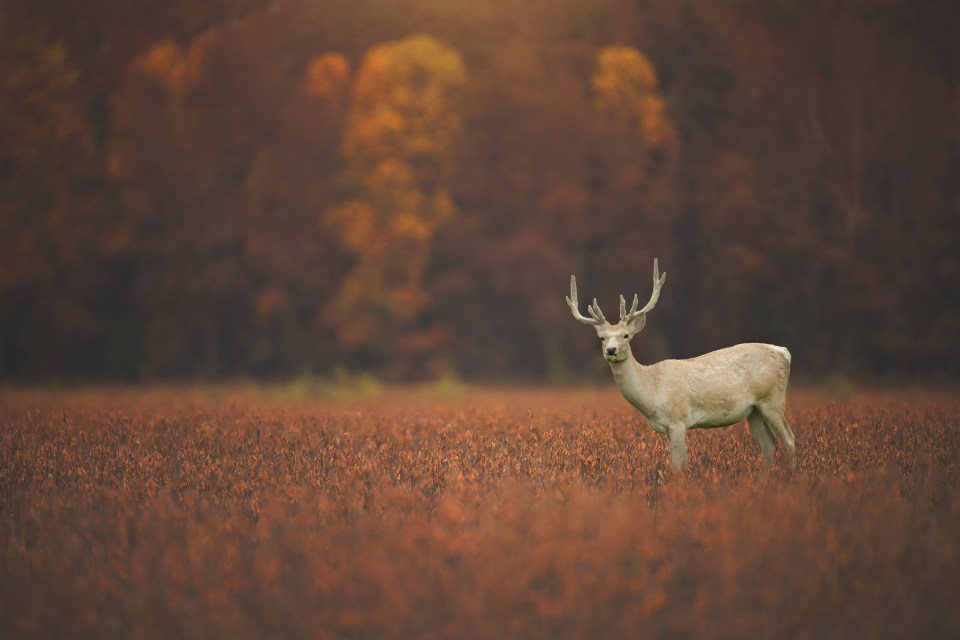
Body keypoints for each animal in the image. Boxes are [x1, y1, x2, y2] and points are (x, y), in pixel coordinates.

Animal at [568, 258, 796, 476]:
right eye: (602, 337)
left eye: (626, 335)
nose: (611, 350)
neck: (652, 389)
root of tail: (784, 352)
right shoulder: (671, 427)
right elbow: (679, 465)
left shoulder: (677, 421)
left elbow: (678, 467)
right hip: (753, 409)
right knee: (769, 443)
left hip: (773, 399)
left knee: (789, 438)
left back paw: (790, 477)